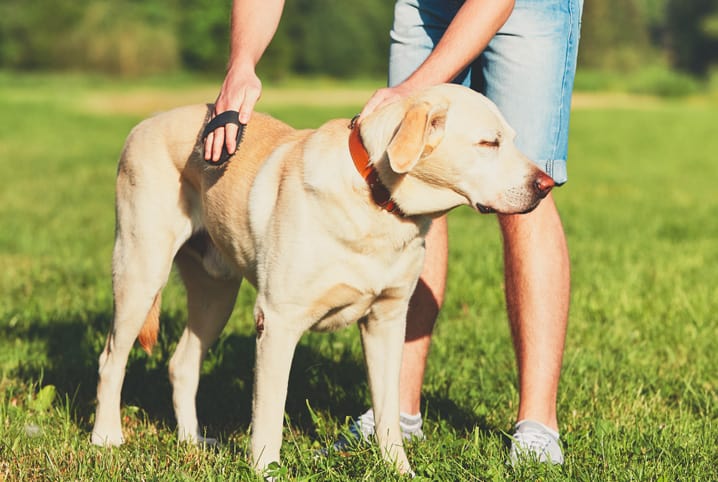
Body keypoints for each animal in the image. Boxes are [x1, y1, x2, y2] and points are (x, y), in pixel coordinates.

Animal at [91, 83, 556, 474]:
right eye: (489, 143)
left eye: (512, 139)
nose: (548, 184)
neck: (377, 201)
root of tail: (145, 123)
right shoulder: (277, 322)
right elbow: (269, 412)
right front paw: (266, 471)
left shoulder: (387, 322)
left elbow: (388, 413)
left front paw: (399, 471)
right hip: (140, 270)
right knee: (111, 358)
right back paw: (106, 437)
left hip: (215, 295)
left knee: (182, 364)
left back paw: (192, 441)